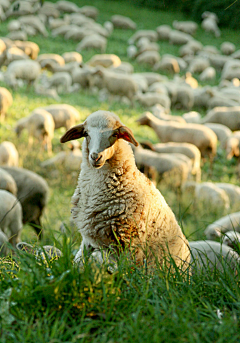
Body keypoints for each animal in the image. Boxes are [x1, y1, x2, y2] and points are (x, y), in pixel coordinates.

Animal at [59, 110, 189, 272]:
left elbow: (126, 272)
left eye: (115, 134)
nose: (95, 157)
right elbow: (80, 262)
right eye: (86, 133)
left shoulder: (129, 240)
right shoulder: (89, 239)